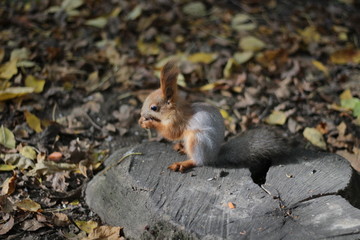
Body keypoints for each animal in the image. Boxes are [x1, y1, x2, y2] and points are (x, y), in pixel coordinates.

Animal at [139, 60, 288, 172]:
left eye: (154, 108)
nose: (141, 115)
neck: (175, 110)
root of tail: (214, 156)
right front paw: (141, 120)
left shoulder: (178, 121)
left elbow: (171, 133)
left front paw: (149, 123)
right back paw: (181, 148)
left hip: (197, 140)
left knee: (199, 161)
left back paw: (183, 164)